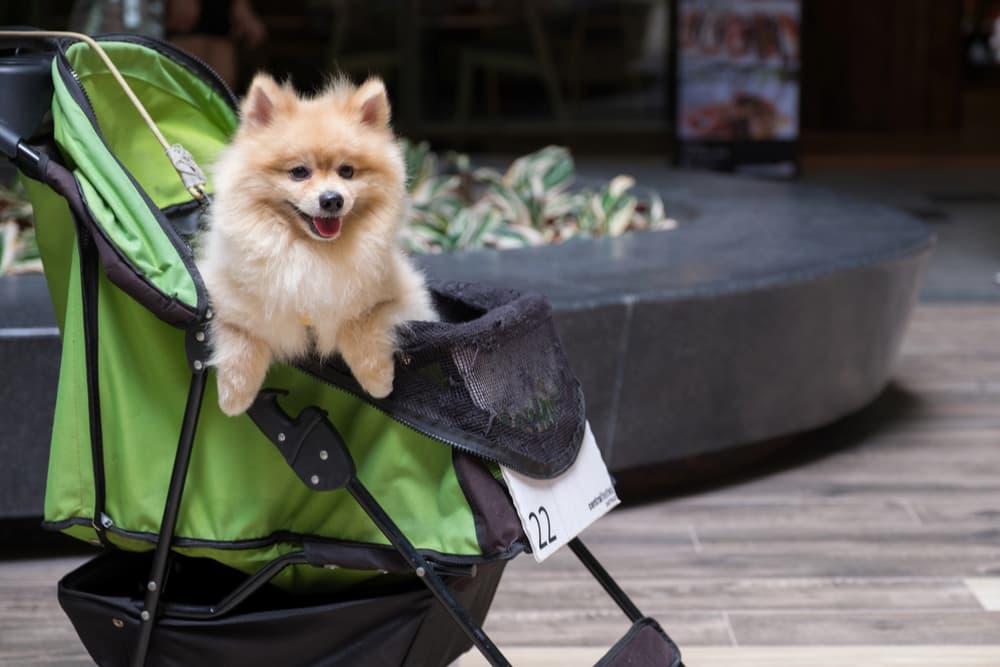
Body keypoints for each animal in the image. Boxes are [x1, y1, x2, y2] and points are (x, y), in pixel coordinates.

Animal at [197, 74, 436, 418]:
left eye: (347, 171)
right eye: (299, 172)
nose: (331, 199)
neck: (313, 252)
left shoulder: (403, 298)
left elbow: (360, 321)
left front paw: (377, 379)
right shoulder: (221, 296)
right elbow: (241, 336)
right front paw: (235, 395)